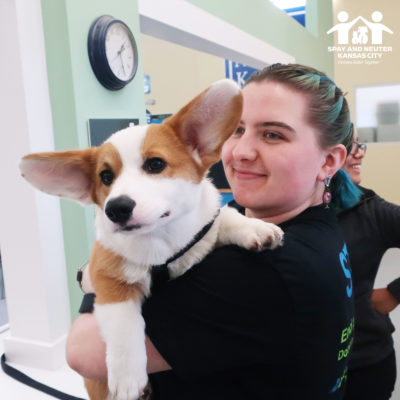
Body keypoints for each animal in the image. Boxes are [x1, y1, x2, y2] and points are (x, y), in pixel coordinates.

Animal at [20, 79, 282, 398]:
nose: (116, 209)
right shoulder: (109, 280)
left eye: (155, 164)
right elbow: (125, 327)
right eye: (105, 177)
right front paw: (127, 379)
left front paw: (256, 228)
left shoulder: (203, 231)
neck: (161, 241)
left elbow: (224, 217)